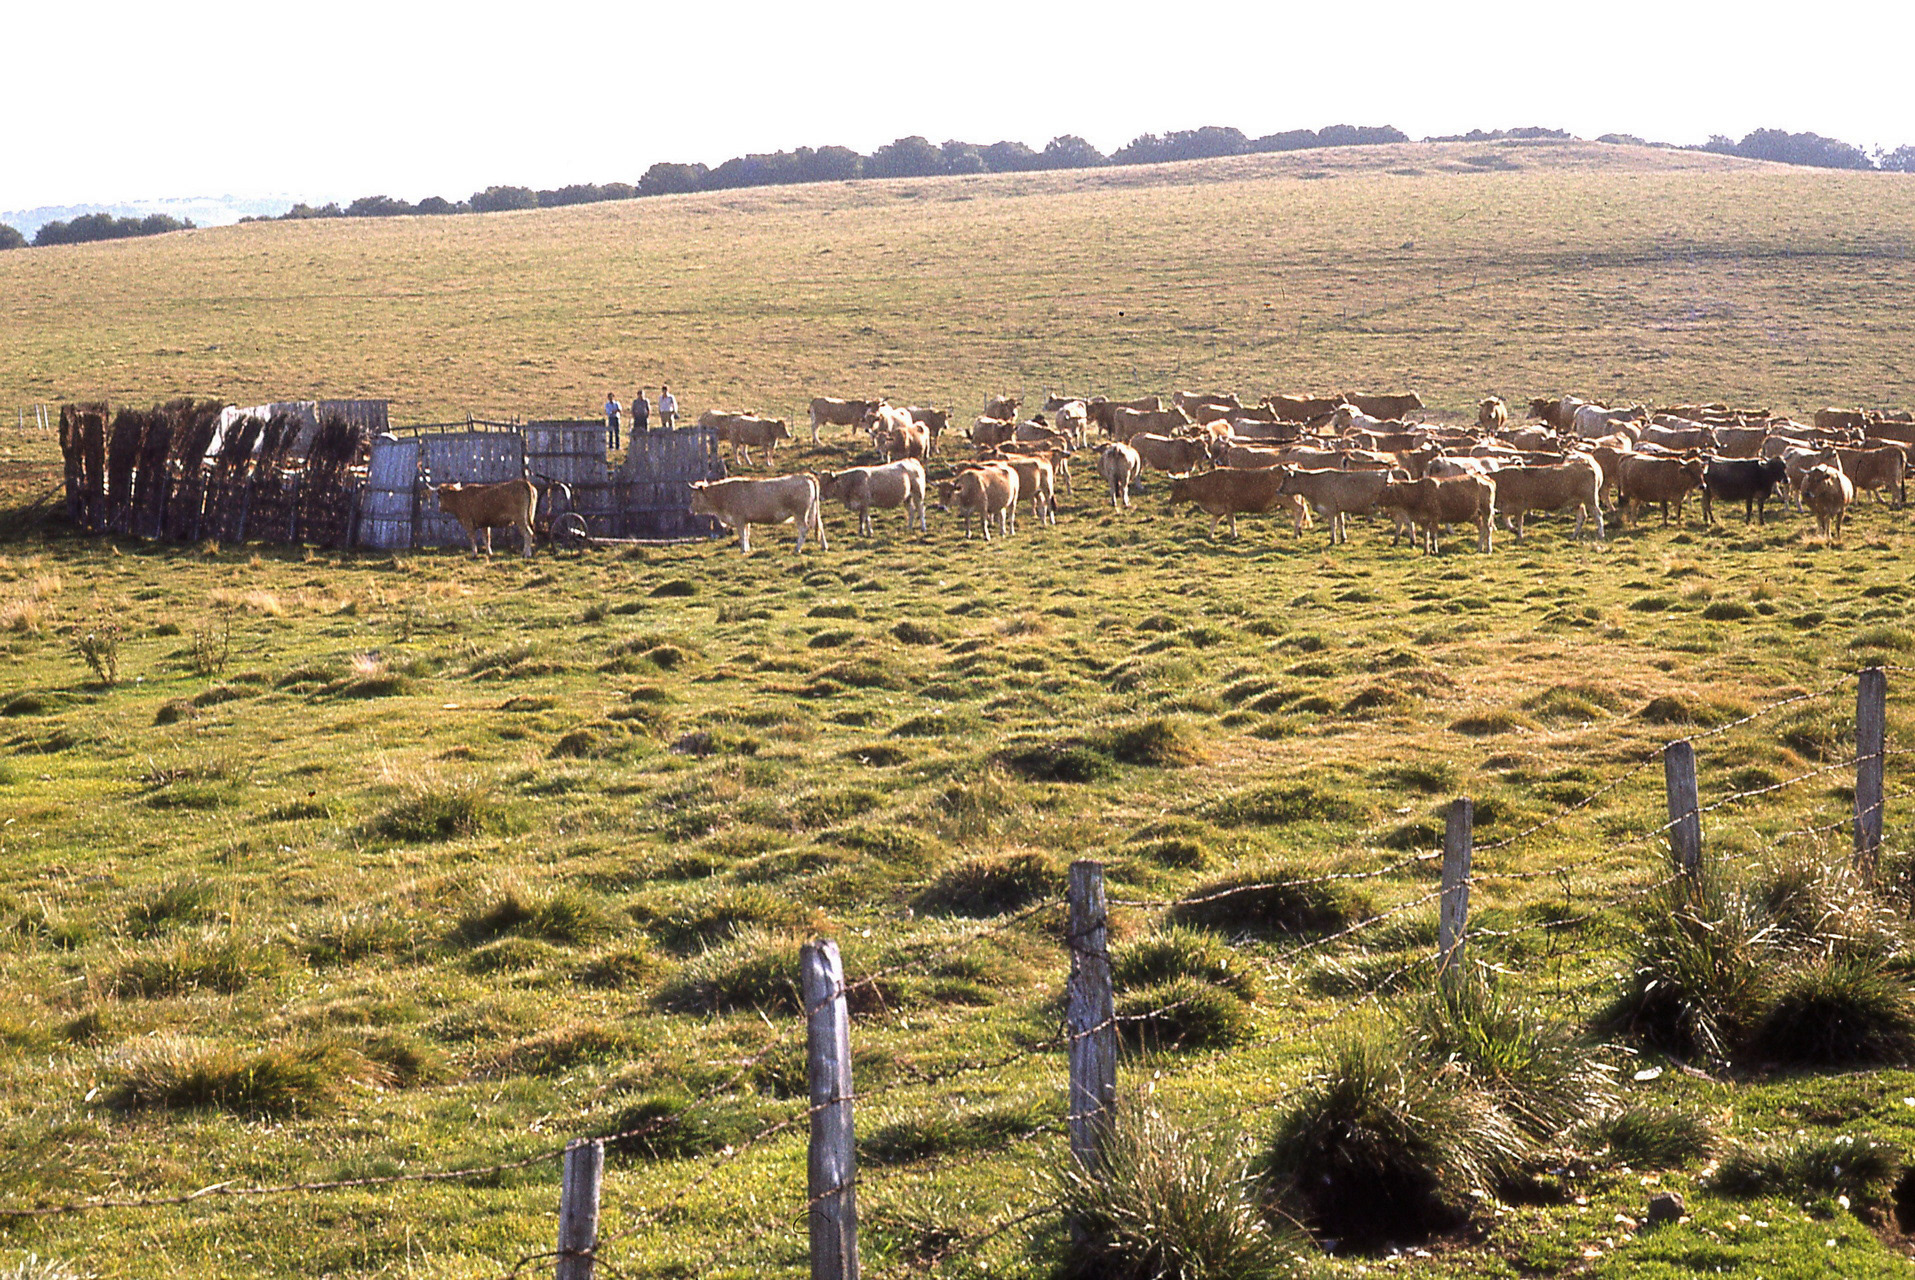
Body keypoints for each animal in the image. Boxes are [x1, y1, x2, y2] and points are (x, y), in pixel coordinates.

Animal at [688, 474, 825, 555]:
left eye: (693, 496)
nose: (690, 509)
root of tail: (804, 476)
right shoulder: (746, 520)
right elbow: (746, 534)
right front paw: (747, 549)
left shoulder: (739, 519)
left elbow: (742, 535)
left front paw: (743, 550)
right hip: (813, 511)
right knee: (820, 526)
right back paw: (824, 546)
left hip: (800, 513)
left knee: (803, 529)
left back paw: (797, 549)